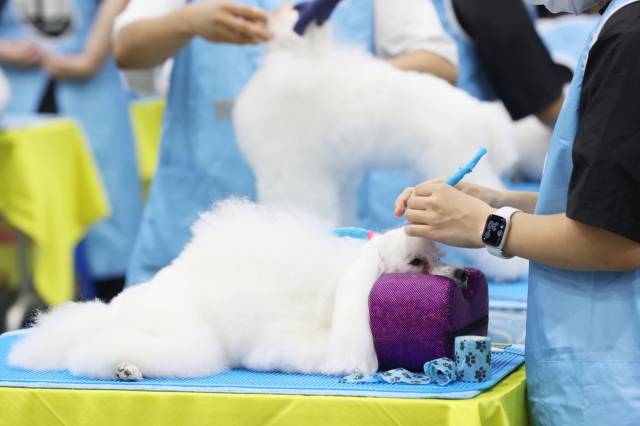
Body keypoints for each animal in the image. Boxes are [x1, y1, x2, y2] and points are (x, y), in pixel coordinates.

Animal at [7, 198, 468, 382]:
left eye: (438, 254)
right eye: (416, 263)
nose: (463, 276)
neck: (350, 275)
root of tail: (114, 308)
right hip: (188, 339)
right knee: (93, 349)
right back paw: (123, 367)